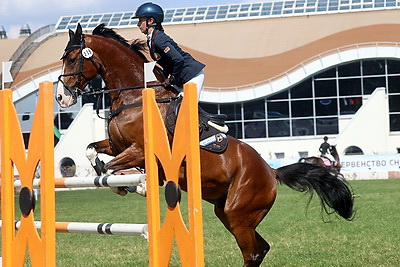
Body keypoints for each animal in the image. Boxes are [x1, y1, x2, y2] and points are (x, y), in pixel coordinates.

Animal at [55, 23, 354, 267]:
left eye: (72, 59)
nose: (61, 98)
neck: (133, 97)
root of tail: (271, 171)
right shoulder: (118, 146)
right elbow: (93, 151)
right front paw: (118, 180)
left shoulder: (139, 151)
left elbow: (113, 167)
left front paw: (135, 185)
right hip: (226, 212)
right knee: (259, 248)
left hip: (238, 212)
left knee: (253, 251)